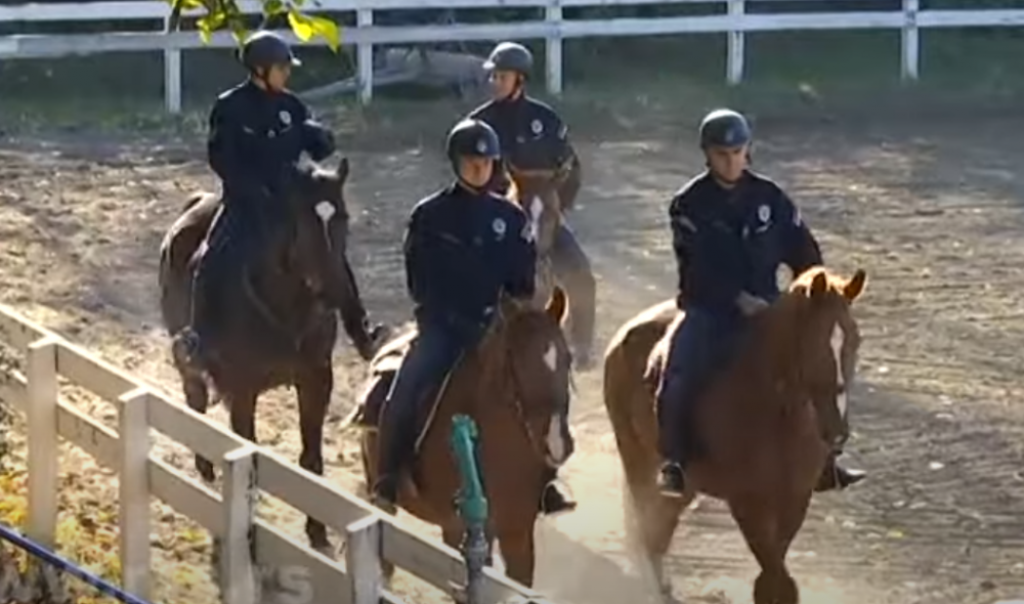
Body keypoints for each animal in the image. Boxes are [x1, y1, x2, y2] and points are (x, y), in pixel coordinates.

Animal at [159, 158, 385, 552]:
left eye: (342, 217)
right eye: (305, 222)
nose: (334, 294)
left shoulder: (317, 380)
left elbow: (311, 461)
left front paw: (317, 531)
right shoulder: (241, 390)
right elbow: (249, 456)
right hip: (187, 362)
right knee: (195, 403)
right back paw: (205, 468)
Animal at [602, 270, 868, 604]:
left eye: (855, 339)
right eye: (816, 342)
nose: (837, 430)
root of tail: (623, 336)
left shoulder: (795, 499)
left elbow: (776, 575)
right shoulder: (746, 501)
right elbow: (776, 579)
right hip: (636, 458)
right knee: (650, 532)